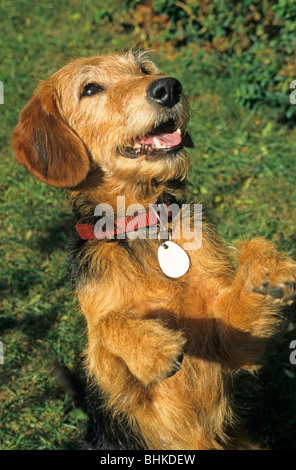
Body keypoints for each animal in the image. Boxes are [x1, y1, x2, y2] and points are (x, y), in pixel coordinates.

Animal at [12, 48, 296, 452]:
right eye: (90, 88)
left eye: (143, 69)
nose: (169, 88)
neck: (143, 222)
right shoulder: (120, 392)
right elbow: (108, 326)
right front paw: (152, 347)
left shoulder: (231, 347)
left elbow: (243, 285)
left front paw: (267, 263)